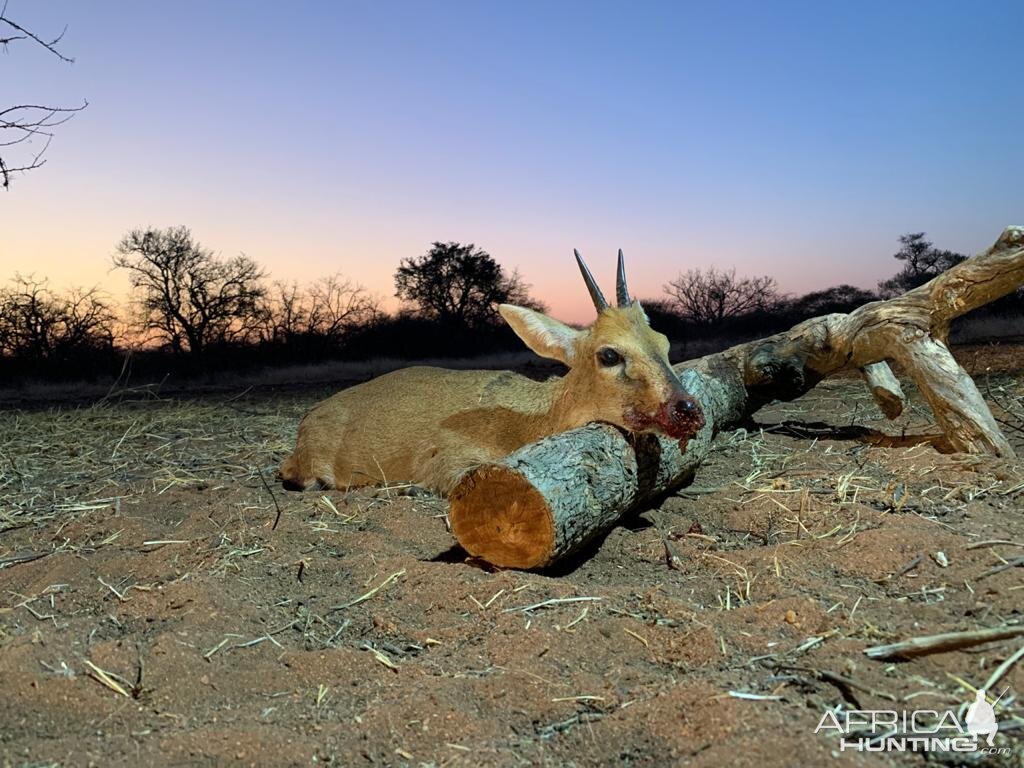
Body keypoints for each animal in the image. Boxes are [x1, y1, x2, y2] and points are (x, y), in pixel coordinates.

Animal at [284, 249, 708, 495]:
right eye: (608, 354)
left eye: (664, 342)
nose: (688, 409)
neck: (535, 421)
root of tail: (306, 423)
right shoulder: (445, 456)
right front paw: (409, 490)